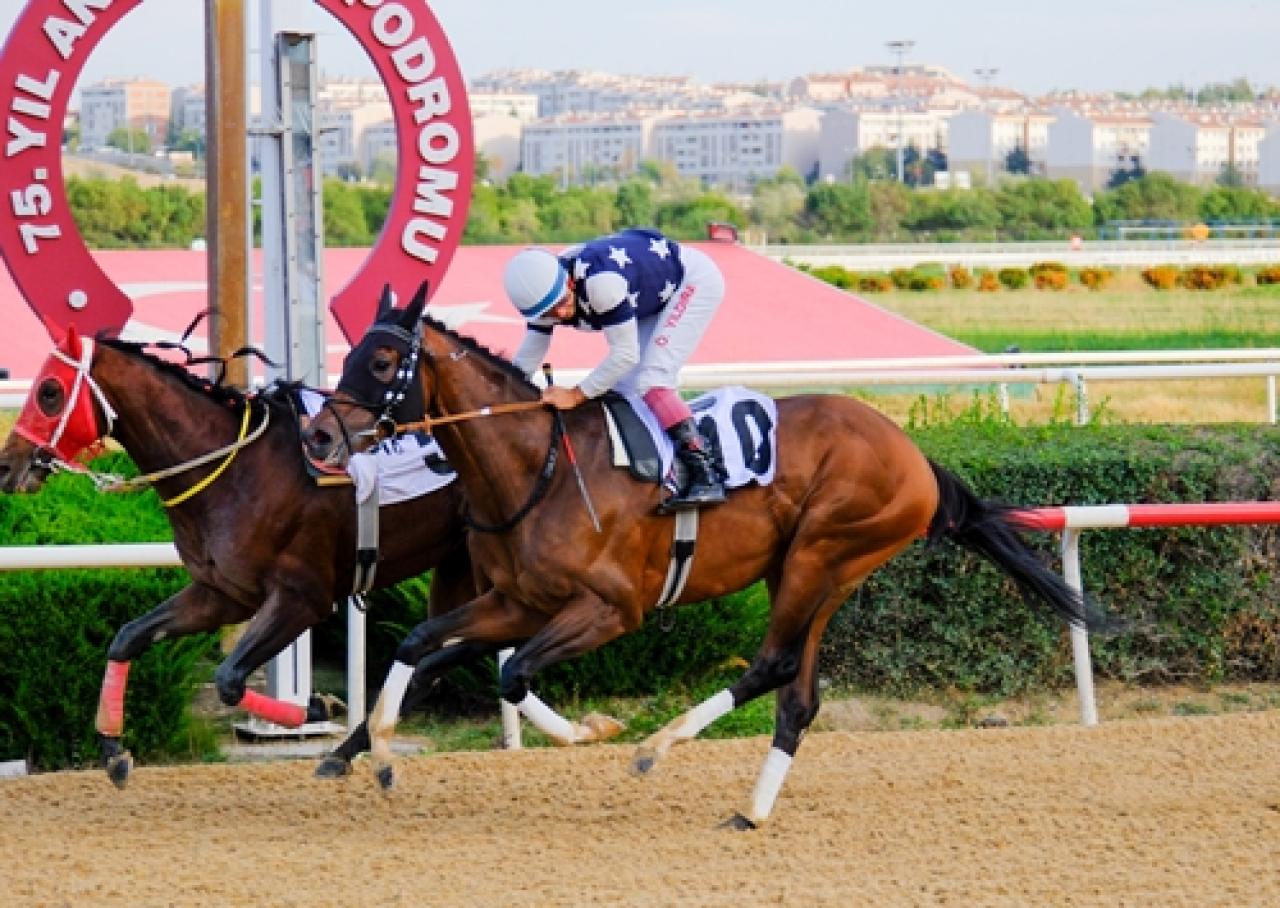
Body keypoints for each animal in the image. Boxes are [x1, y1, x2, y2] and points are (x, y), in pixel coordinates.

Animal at [302, 283, 1111, 829]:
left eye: (382, 360)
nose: (316, 436)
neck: (540, 467)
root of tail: (913, 454)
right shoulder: (515, 600)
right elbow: (421, 643)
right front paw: (373, 756)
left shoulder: (610, 610)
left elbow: (512, 674)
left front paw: (596, 731)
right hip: (811, 571)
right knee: (797, 694)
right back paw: (750, 811)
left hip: (826, 554)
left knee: (774, 664)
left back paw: (657, 748)